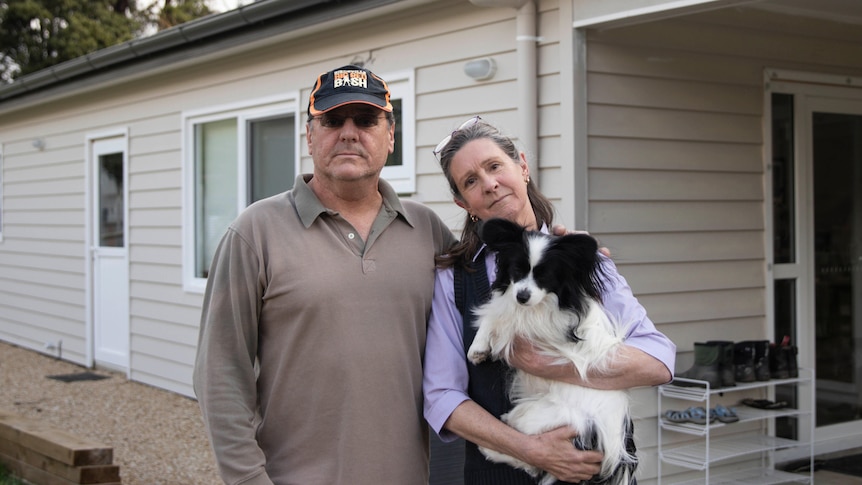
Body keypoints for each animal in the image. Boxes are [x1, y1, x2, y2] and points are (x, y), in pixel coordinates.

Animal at [470, 218, 636, 484]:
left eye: (544, 277)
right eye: (516, 270)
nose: (522, 296)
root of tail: (613, 451)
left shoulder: (543, 328)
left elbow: (504, 318)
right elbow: (497, 311)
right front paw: (478, 347)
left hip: (536, 416)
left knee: (530, 456)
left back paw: (489, 448)